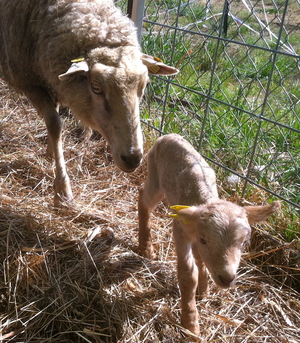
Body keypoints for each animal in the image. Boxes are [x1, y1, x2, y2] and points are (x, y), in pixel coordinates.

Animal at [0, 0, 178, 207]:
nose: (133, 158)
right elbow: (54, 123)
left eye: (144, 85)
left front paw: (50, 153)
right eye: (96, 88)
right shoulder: (29, 82)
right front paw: (62, 188)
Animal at [138, 134, 278, 336]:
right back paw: (145, 246)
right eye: (205, 240)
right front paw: (190, 323)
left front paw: (203, 289)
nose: (227, 278)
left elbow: (201, 259)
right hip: (155, 174)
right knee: (144, 197)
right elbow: (188, 275)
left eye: (244, 243)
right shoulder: (181, 231)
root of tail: (170, 135)